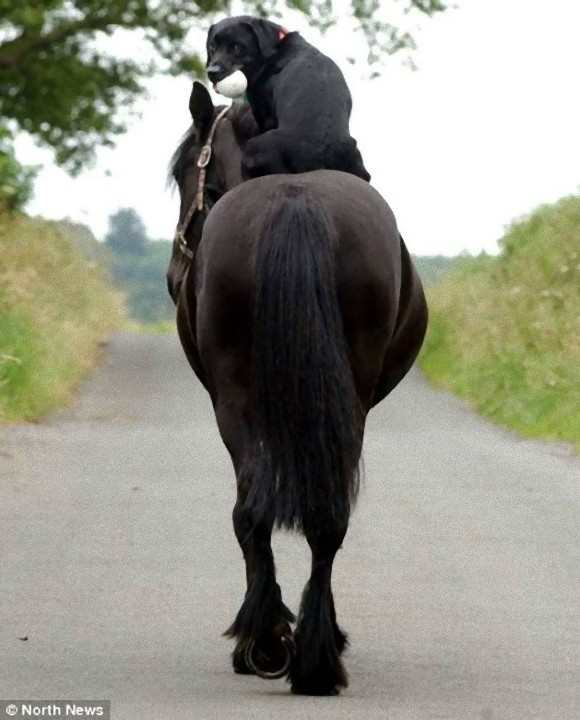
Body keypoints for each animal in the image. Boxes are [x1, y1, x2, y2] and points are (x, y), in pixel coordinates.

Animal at [165, 81, 428, 696]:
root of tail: (295, 198)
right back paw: (305, 652)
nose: (172, 276)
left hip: (241, 404)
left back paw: (273, 644)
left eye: (187, 174)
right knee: (316, 517)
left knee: (257, 511)